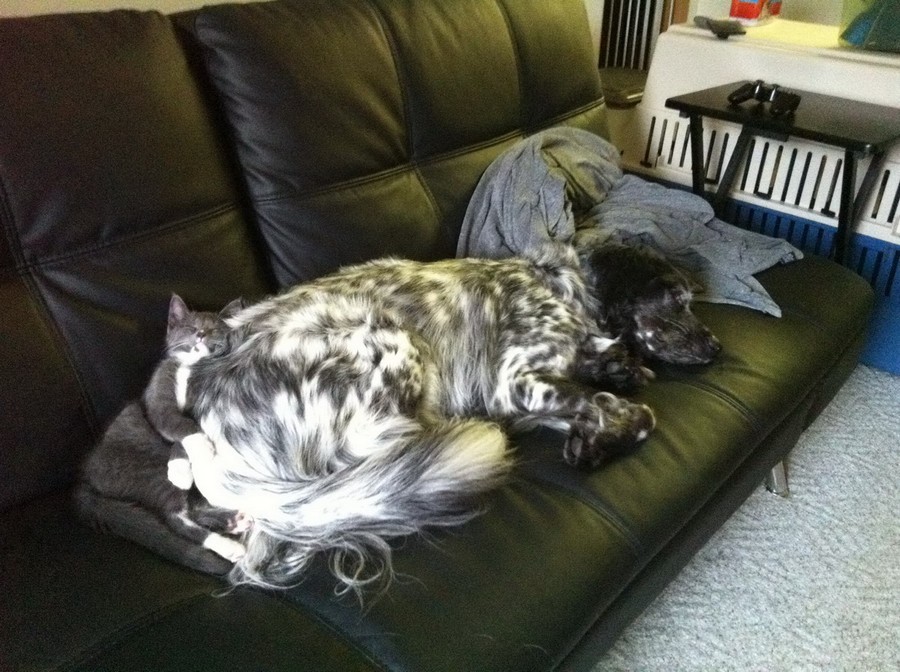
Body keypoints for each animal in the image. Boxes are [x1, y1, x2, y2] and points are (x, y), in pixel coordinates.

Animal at [74, 294, 248, 575]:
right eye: (190, 327)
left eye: (213, 329)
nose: (200, 334)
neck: (191, 368)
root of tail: (85, 478)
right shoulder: (158, 399)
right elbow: (178, 424)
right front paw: (190, 462)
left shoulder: (201, 403)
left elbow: (187, 426)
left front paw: (188, 463)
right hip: (146, 465)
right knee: (173, 516)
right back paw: (228, 544)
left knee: (186, 509)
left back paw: (233, 522)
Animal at [176, 243, 656, 593]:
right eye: (672, 302)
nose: (700, 346)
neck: (555, 280)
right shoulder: (511, 383)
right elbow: (632, 412)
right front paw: (612, 422)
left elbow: (589, 401)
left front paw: (595, 425)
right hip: (391, 345)